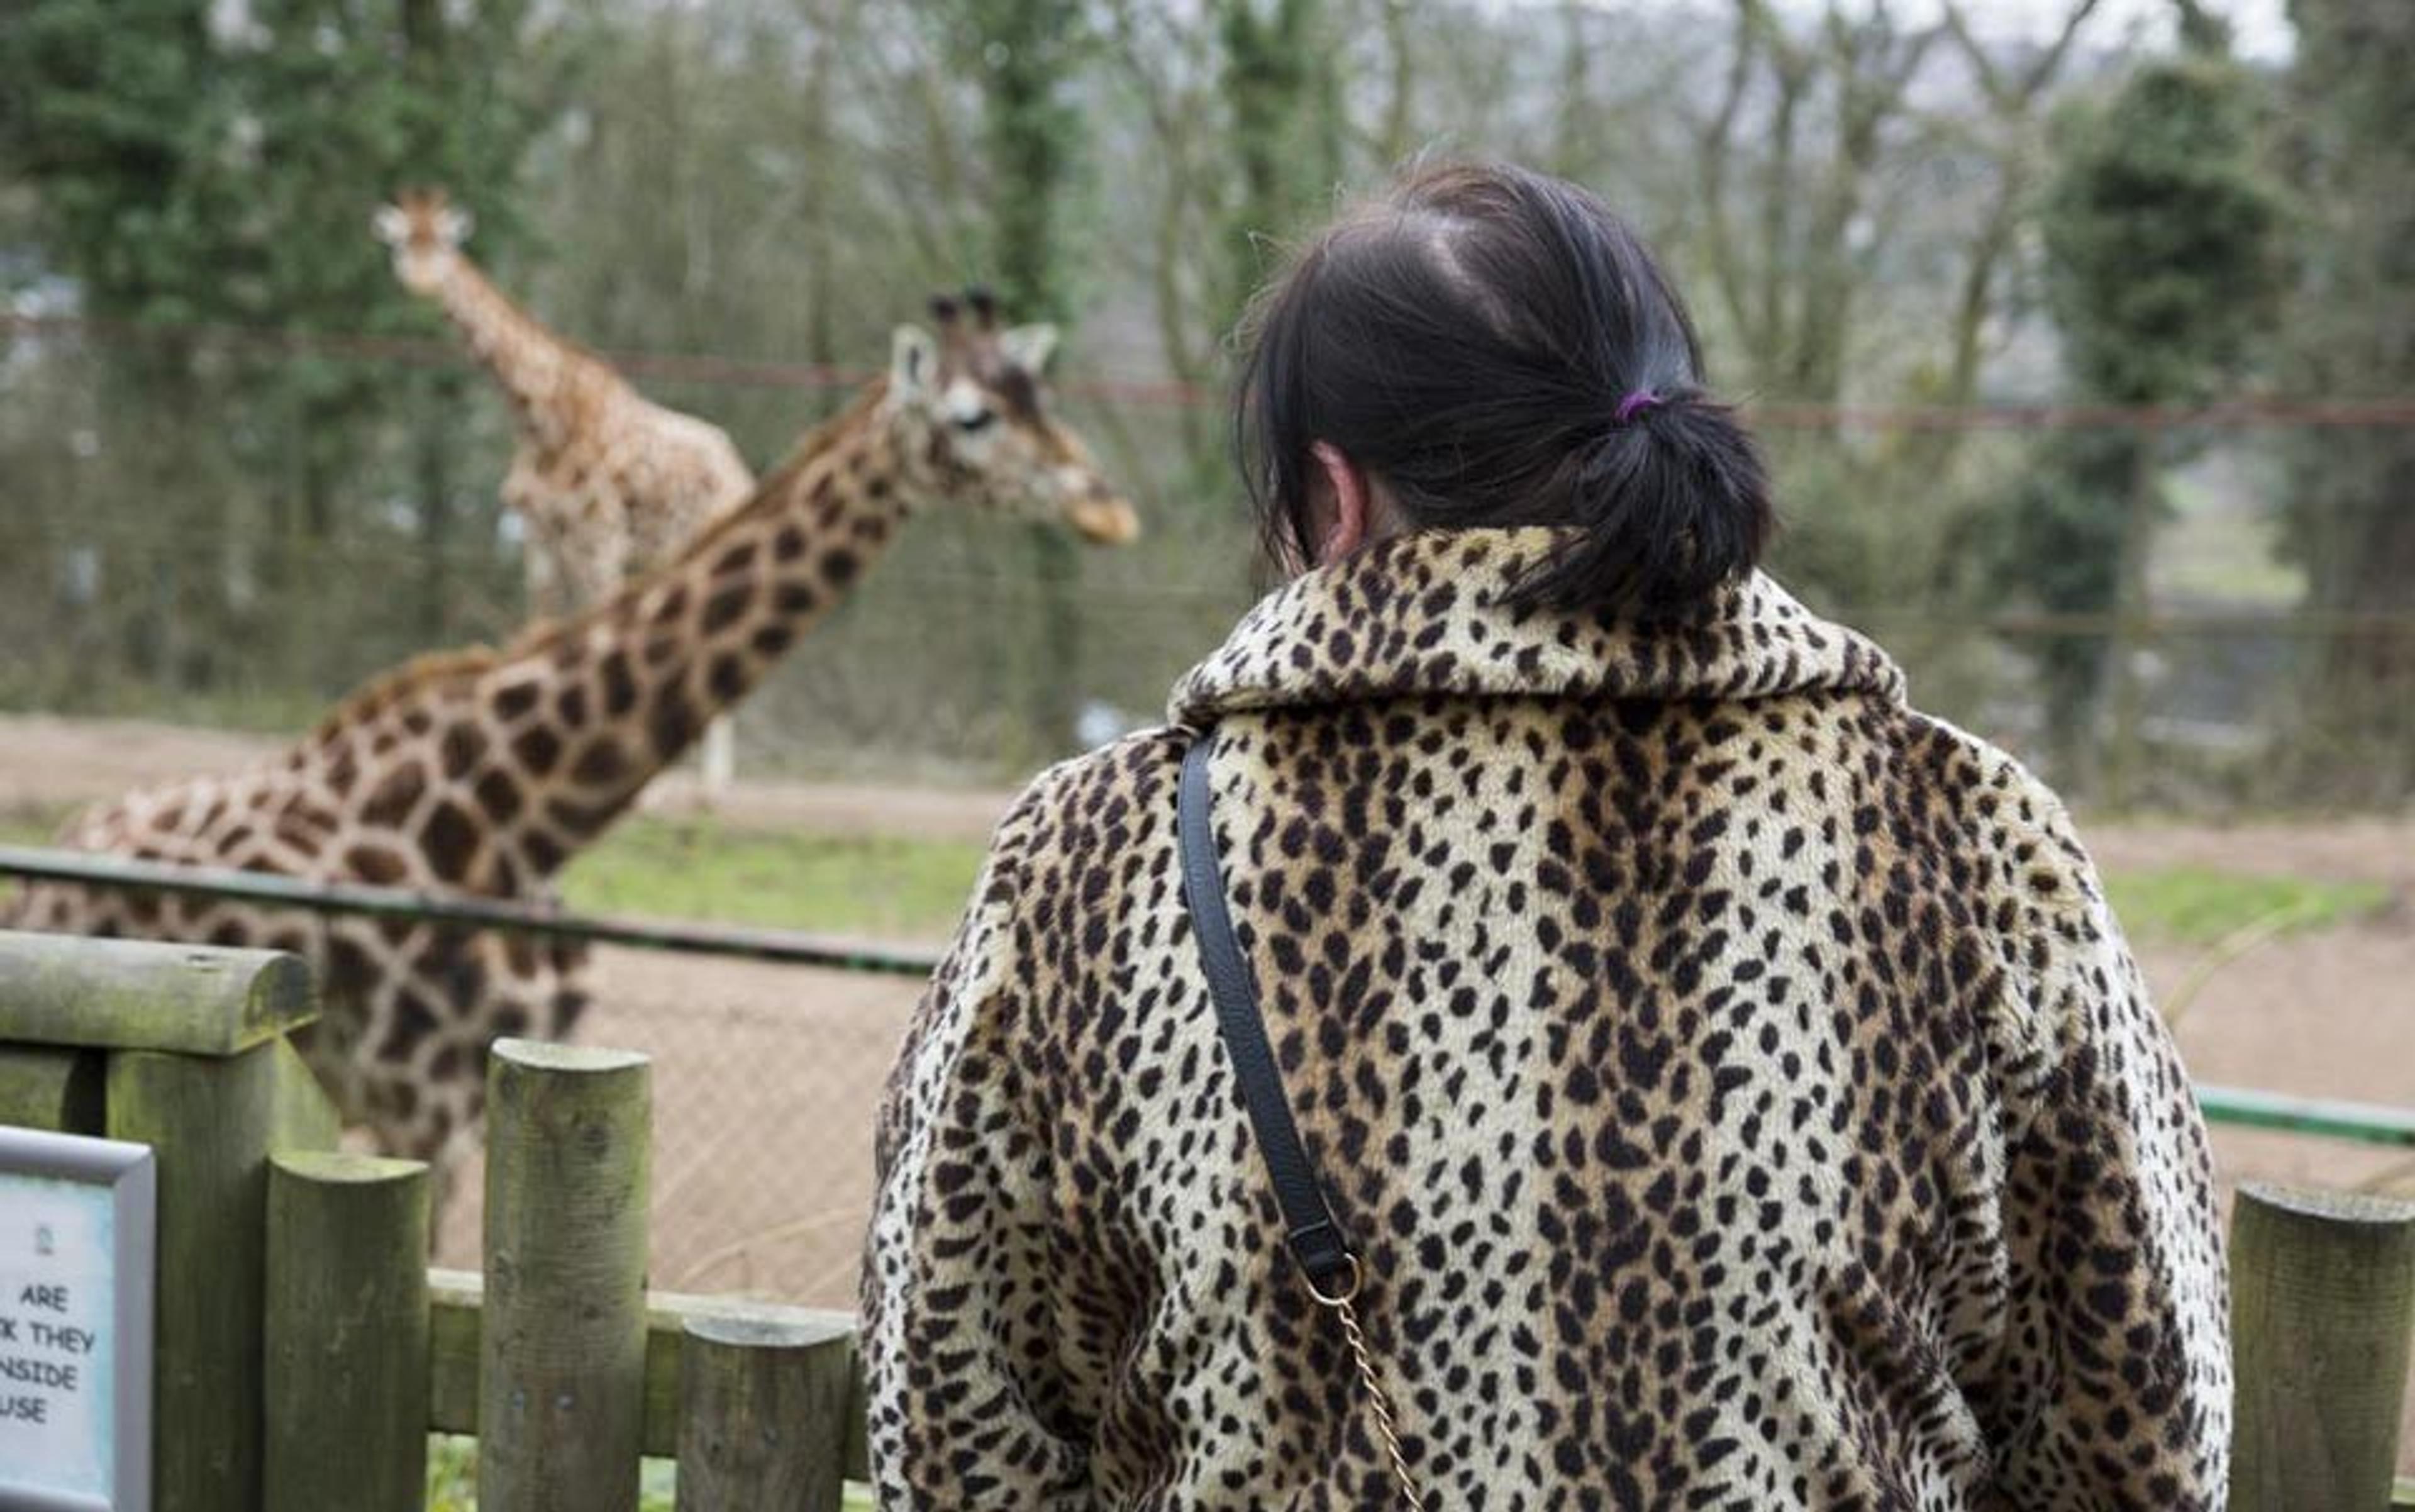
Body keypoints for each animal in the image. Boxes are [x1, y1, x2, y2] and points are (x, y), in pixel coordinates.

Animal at [7, 294, 1140, 1164]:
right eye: (974, 416)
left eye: (1040, 397)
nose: (1107, 507)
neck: (510, 816)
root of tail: (57, 853)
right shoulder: (420, 1105)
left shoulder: (458, 1107)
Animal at [374, 180, 753, 777]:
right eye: (400, 244)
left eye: (444, 245)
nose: (420, 285)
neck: (540, 420)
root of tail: (741, 470)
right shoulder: (543, 542)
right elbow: (539, 635)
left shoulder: (601, 538)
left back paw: (709, 784)